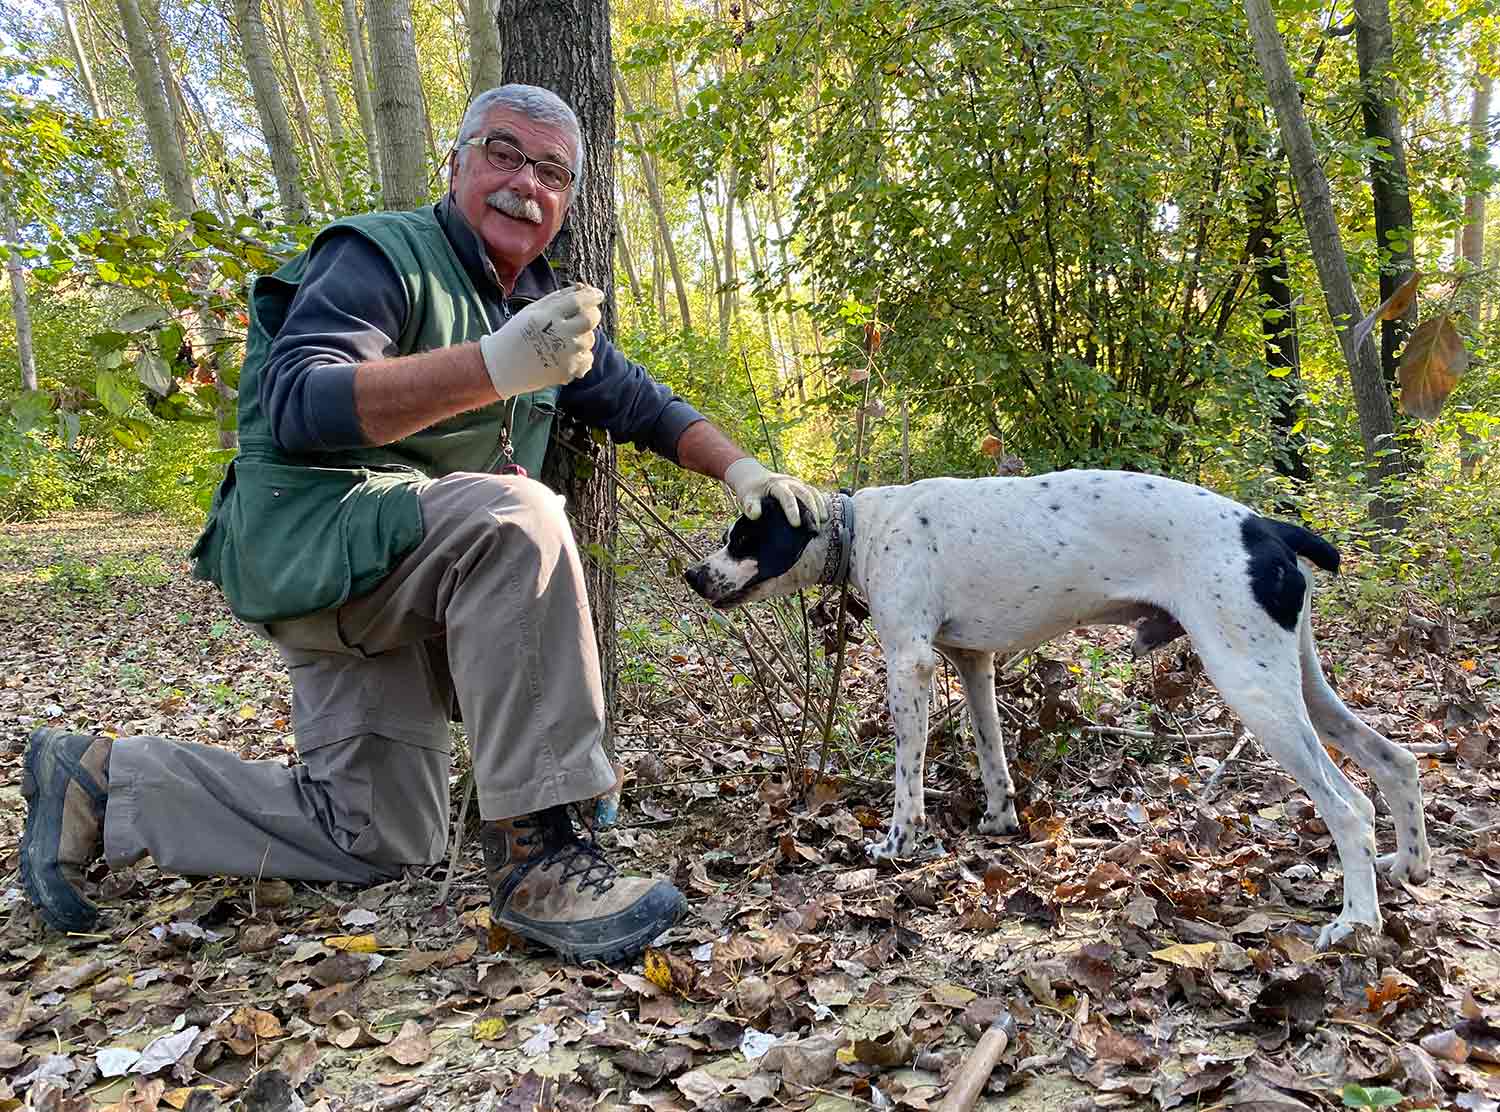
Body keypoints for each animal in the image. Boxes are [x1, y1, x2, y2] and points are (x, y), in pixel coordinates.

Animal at [687, 468, 1434, 948]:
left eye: (743, 538)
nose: (694, 575)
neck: (862, 525)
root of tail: (1265, 524)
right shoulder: (972, 662)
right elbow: (989, 748)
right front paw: (998, 821)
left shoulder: (910, 663)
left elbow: (907, 776)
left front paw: (899, 844)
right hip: (1297, 683)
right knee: (1396, 762)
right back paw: (1409, 866)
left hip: (1254, 689)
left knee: (1349, 805)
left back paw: (1356, 921)